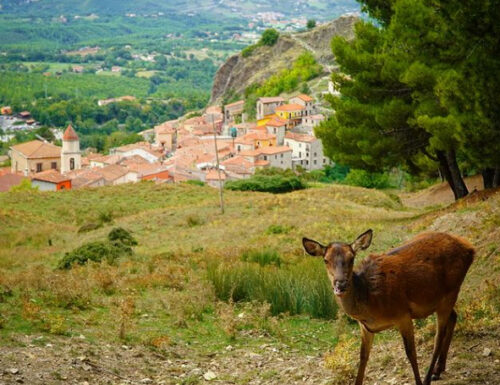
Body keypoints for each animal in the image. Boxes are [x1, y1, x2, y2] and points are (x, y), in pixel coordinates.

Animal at [302, 231, 474, 384]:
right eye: (325, 260)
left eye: (351, 258)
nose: (341, 285)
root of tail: (470, 248)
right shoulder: (365, 327)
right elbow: (363, 357)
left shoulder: (403, 314)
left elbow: (411, 353)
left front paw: (419, 381)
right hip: (441, 300)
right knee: (453, 317)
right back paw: (438, 370)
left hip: (451, 291)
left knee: (438, 336)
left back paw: (428, 377)